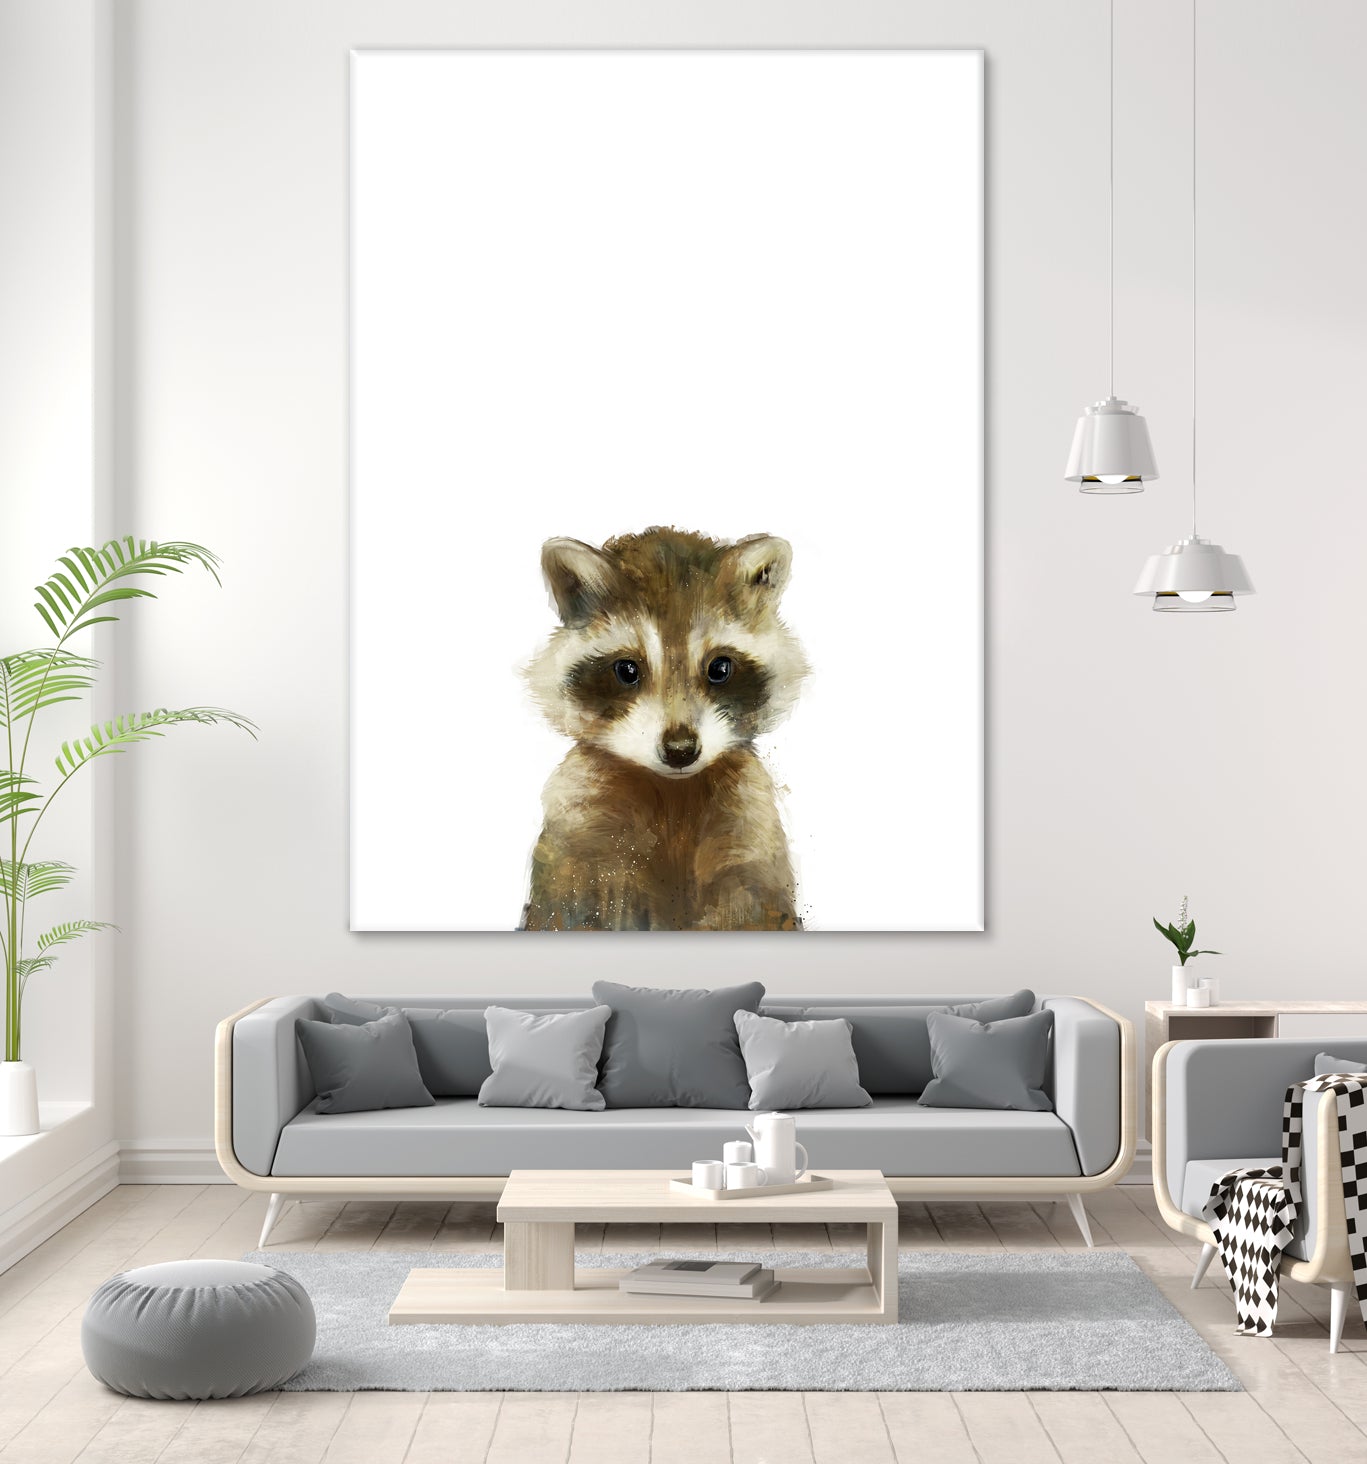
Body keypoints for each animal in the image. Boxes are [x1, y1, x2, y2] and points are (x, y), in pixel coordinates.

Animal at [521, 527, 810, 931]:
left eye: (720, 668)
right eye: (627, 670)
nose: (680, 750)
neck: (674, 793)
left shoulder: (749, 829)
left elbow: (752, 907)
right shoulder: (580, 832)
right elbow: (573, 907)